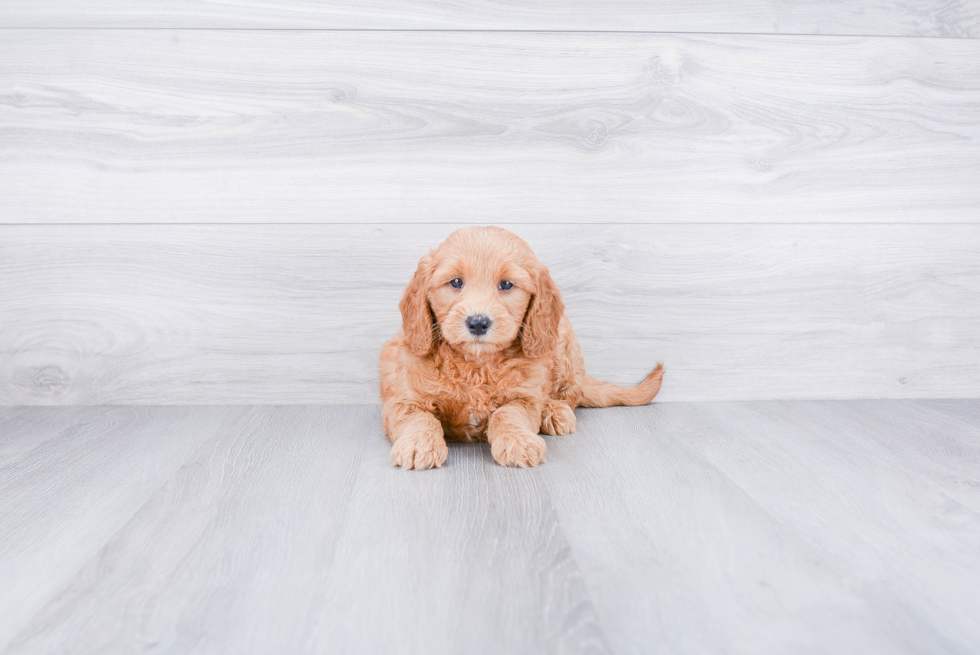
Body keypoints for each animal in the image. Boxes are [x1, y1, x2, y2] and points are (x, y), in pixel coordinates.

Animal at [378, 228, 664, 468]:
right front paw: (419, 444)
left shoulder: (524, 397)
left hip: (565, 348)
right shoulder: (403, 399)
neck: (476, 365)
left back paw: (554, 412)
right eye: (456, 282)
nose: (478, 323)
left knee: (569, 396)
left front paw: (518, 441)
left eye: (506, 284)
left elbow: (507, 413)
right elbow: (419, 417)